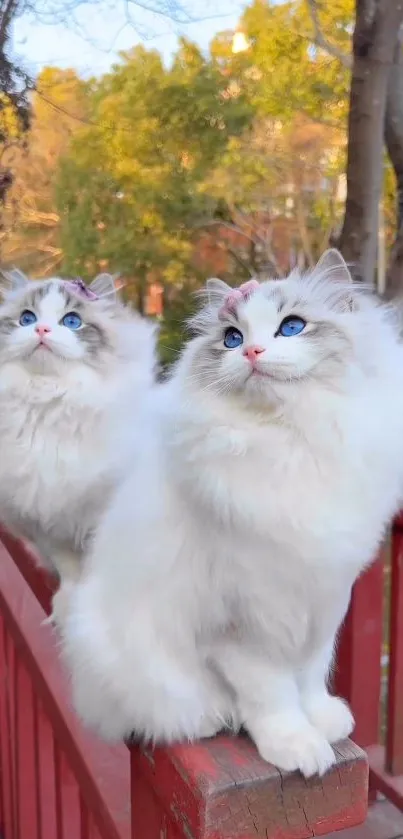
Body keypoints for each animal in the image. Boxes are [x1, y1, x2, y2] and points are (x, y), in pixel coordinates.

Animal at [0, 270, 155, 596]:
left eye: (72, 321)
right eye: (26, 319)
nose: (42, 329)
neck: (48, 402)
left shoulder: (102, 510)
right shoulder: (45, 521)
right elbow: (69, 568)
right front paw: (69, 600)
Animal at [60, 251, 403, 780]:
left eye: (292, 327)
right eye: (232, 339)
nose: (253, 353)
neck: (291, 441)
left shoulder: (323, 600)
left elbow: (310, 676)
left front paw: (324, 721)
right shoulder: (246, 624)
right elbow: (274, 696)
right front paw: (299, 748)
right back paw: (210, 718)